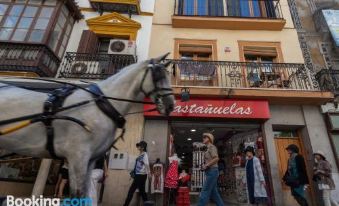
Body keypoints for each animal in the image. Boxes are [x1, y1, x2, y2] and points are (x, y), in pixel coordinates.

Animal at [0, 54, 175, 197]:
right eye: (158, 74)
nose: (171, 105)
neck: (102, 104)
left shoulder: (89, 160)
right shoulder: (78, 156)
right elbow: (77, 194)